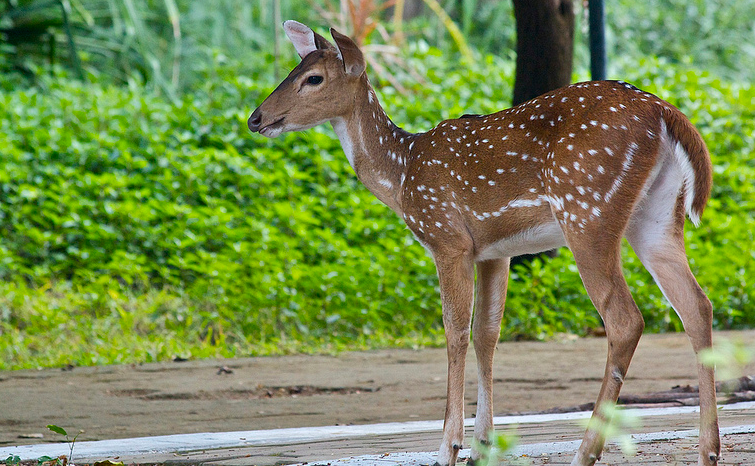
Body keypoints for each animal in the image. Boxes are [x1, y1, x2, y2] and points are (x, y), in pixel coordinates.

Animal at [248, 20, 720, 466]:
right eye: (293, 68)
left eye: (313, 78)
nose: (255, 118)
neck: (401, 175)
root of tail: (664, 112)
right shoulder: (495, 252)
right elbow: (487, 334)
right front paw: (481, 446)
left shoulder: (448, 239)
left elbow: (455, 330)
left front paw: (448, 447)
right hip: (656, 218)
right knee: (697, 305)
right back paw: (708, 450)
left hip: (587, 210)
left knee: (625, 319)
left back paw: (586, 451)